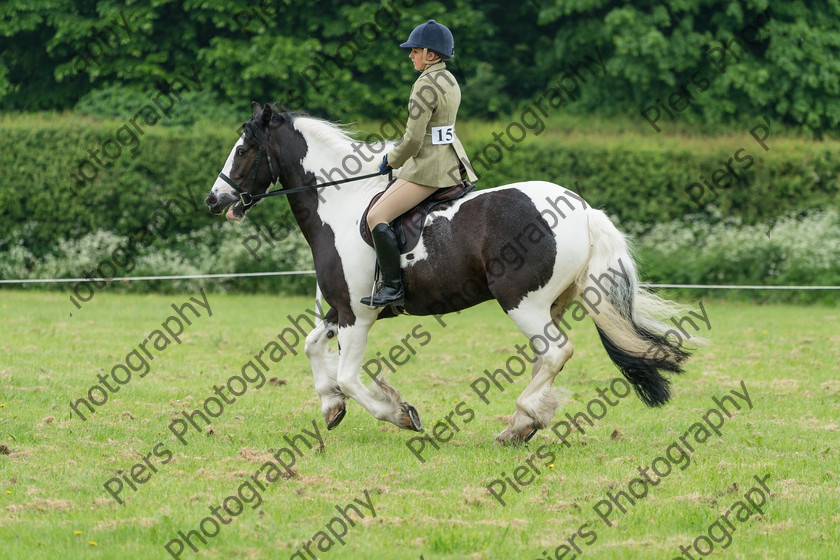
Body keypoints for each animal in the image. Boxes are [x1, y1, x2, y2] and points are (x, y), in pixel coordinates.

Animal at [205, 101, 696, 446]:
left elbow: (348, 375)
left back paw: (522, 420)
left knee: (557, 353)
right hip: (549, 305)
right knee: (545, 357)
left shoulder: (357, 315)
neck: (340, 204)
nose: (214, 200)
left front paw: (398, 413)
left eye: (244, 149)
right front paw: (331, 406)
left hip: (522, 302)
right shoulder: (344, 309)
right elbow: (310, 345)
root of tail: (583, 209)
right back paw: (521, 424)